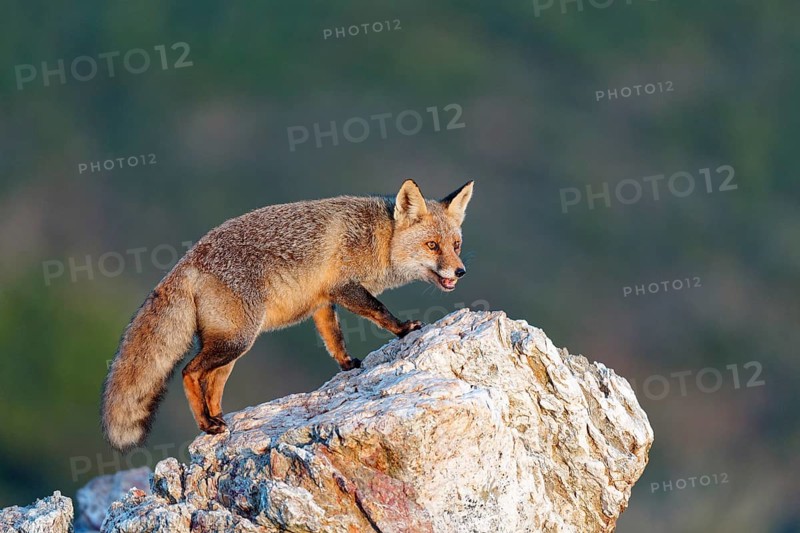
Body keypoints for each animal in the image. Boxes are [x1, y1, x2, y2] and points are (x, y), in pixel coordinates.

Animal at [101, 179, 474, 451]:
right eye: (431, 246)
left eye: (455, 245)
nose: (460, 272)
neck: (377, 239)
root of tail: (186, 260)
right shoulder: (345, 287)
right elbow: (379, 311)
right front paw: (403, 329)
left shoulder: (323, 300)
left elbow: (333, 338)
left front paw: (348, 365)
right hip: (236, 341)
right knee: (189, 372)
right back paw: (206, 424)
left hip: (232, 347)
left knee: (212, 383)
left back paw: (219, 420)